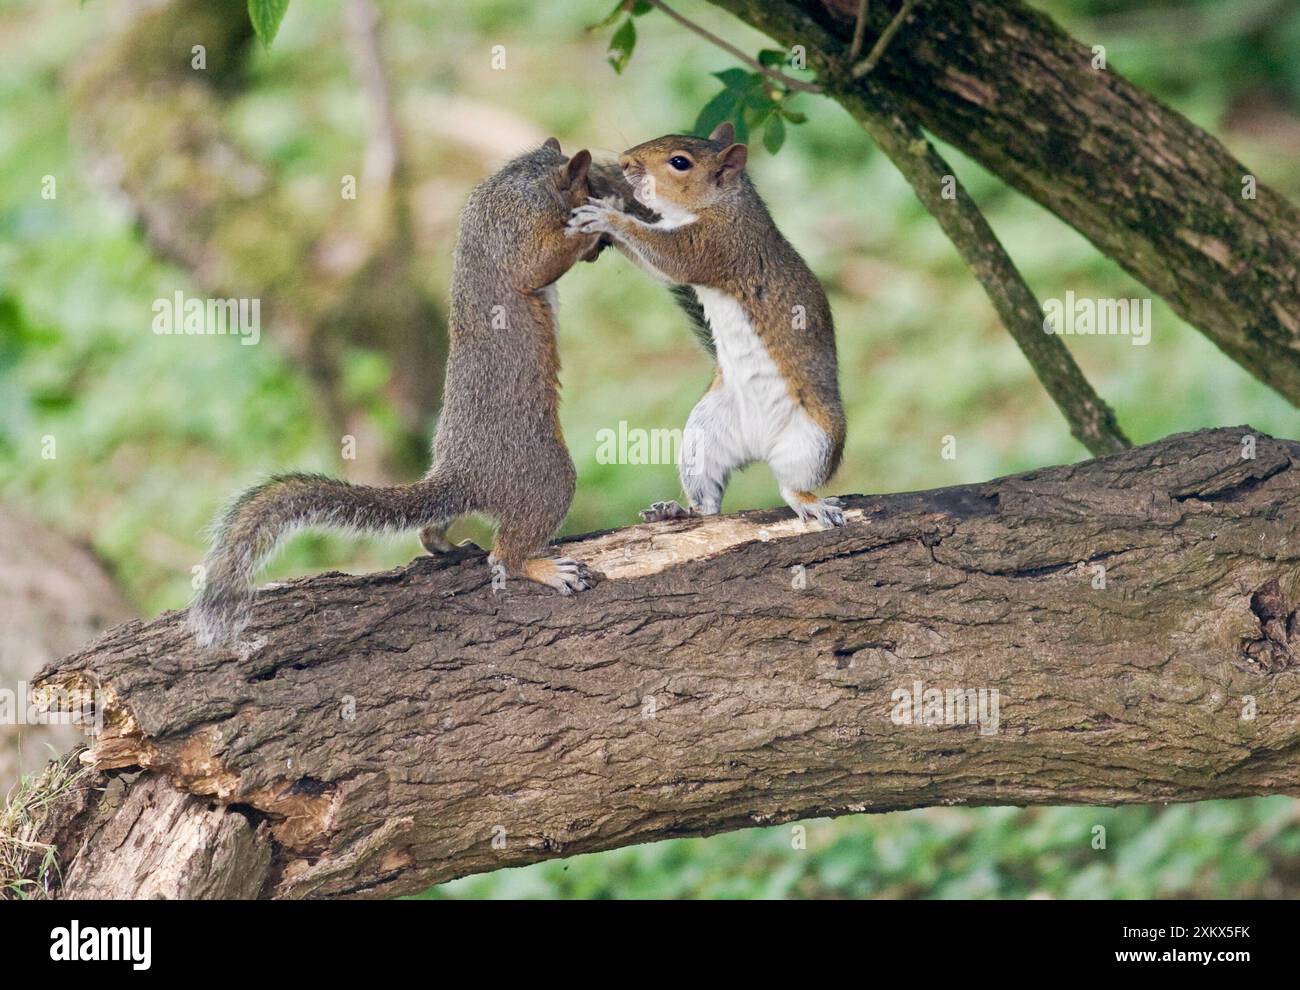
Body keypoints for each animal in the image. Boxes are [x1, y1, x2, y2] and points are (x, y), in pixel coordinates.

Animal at [189, 139, 610, 647]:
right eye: (592, 185)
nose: (605, 245)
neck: (520, 182)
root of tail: (464, 473)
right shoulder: (519, 232)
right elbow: (541, 262)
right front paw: (591, 230)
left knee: (433, 530)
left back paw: (448, 546)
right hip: (546, 476)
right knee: (505, 556)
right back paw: (542, 567)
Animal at [566, 122, 847, 528]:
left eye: (680, 163)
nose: (624, 162)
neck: (721, 203)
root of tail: (758, 446)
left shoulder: (718, 245)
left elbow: (671, 260)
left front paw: (607, 215)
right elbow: (654, 262)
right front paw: (614, 208)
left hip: (815, 441)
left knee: (792, 485)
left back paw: (810, 503)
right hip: (704, 434)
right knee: (710, 499)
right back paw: (678, 509)